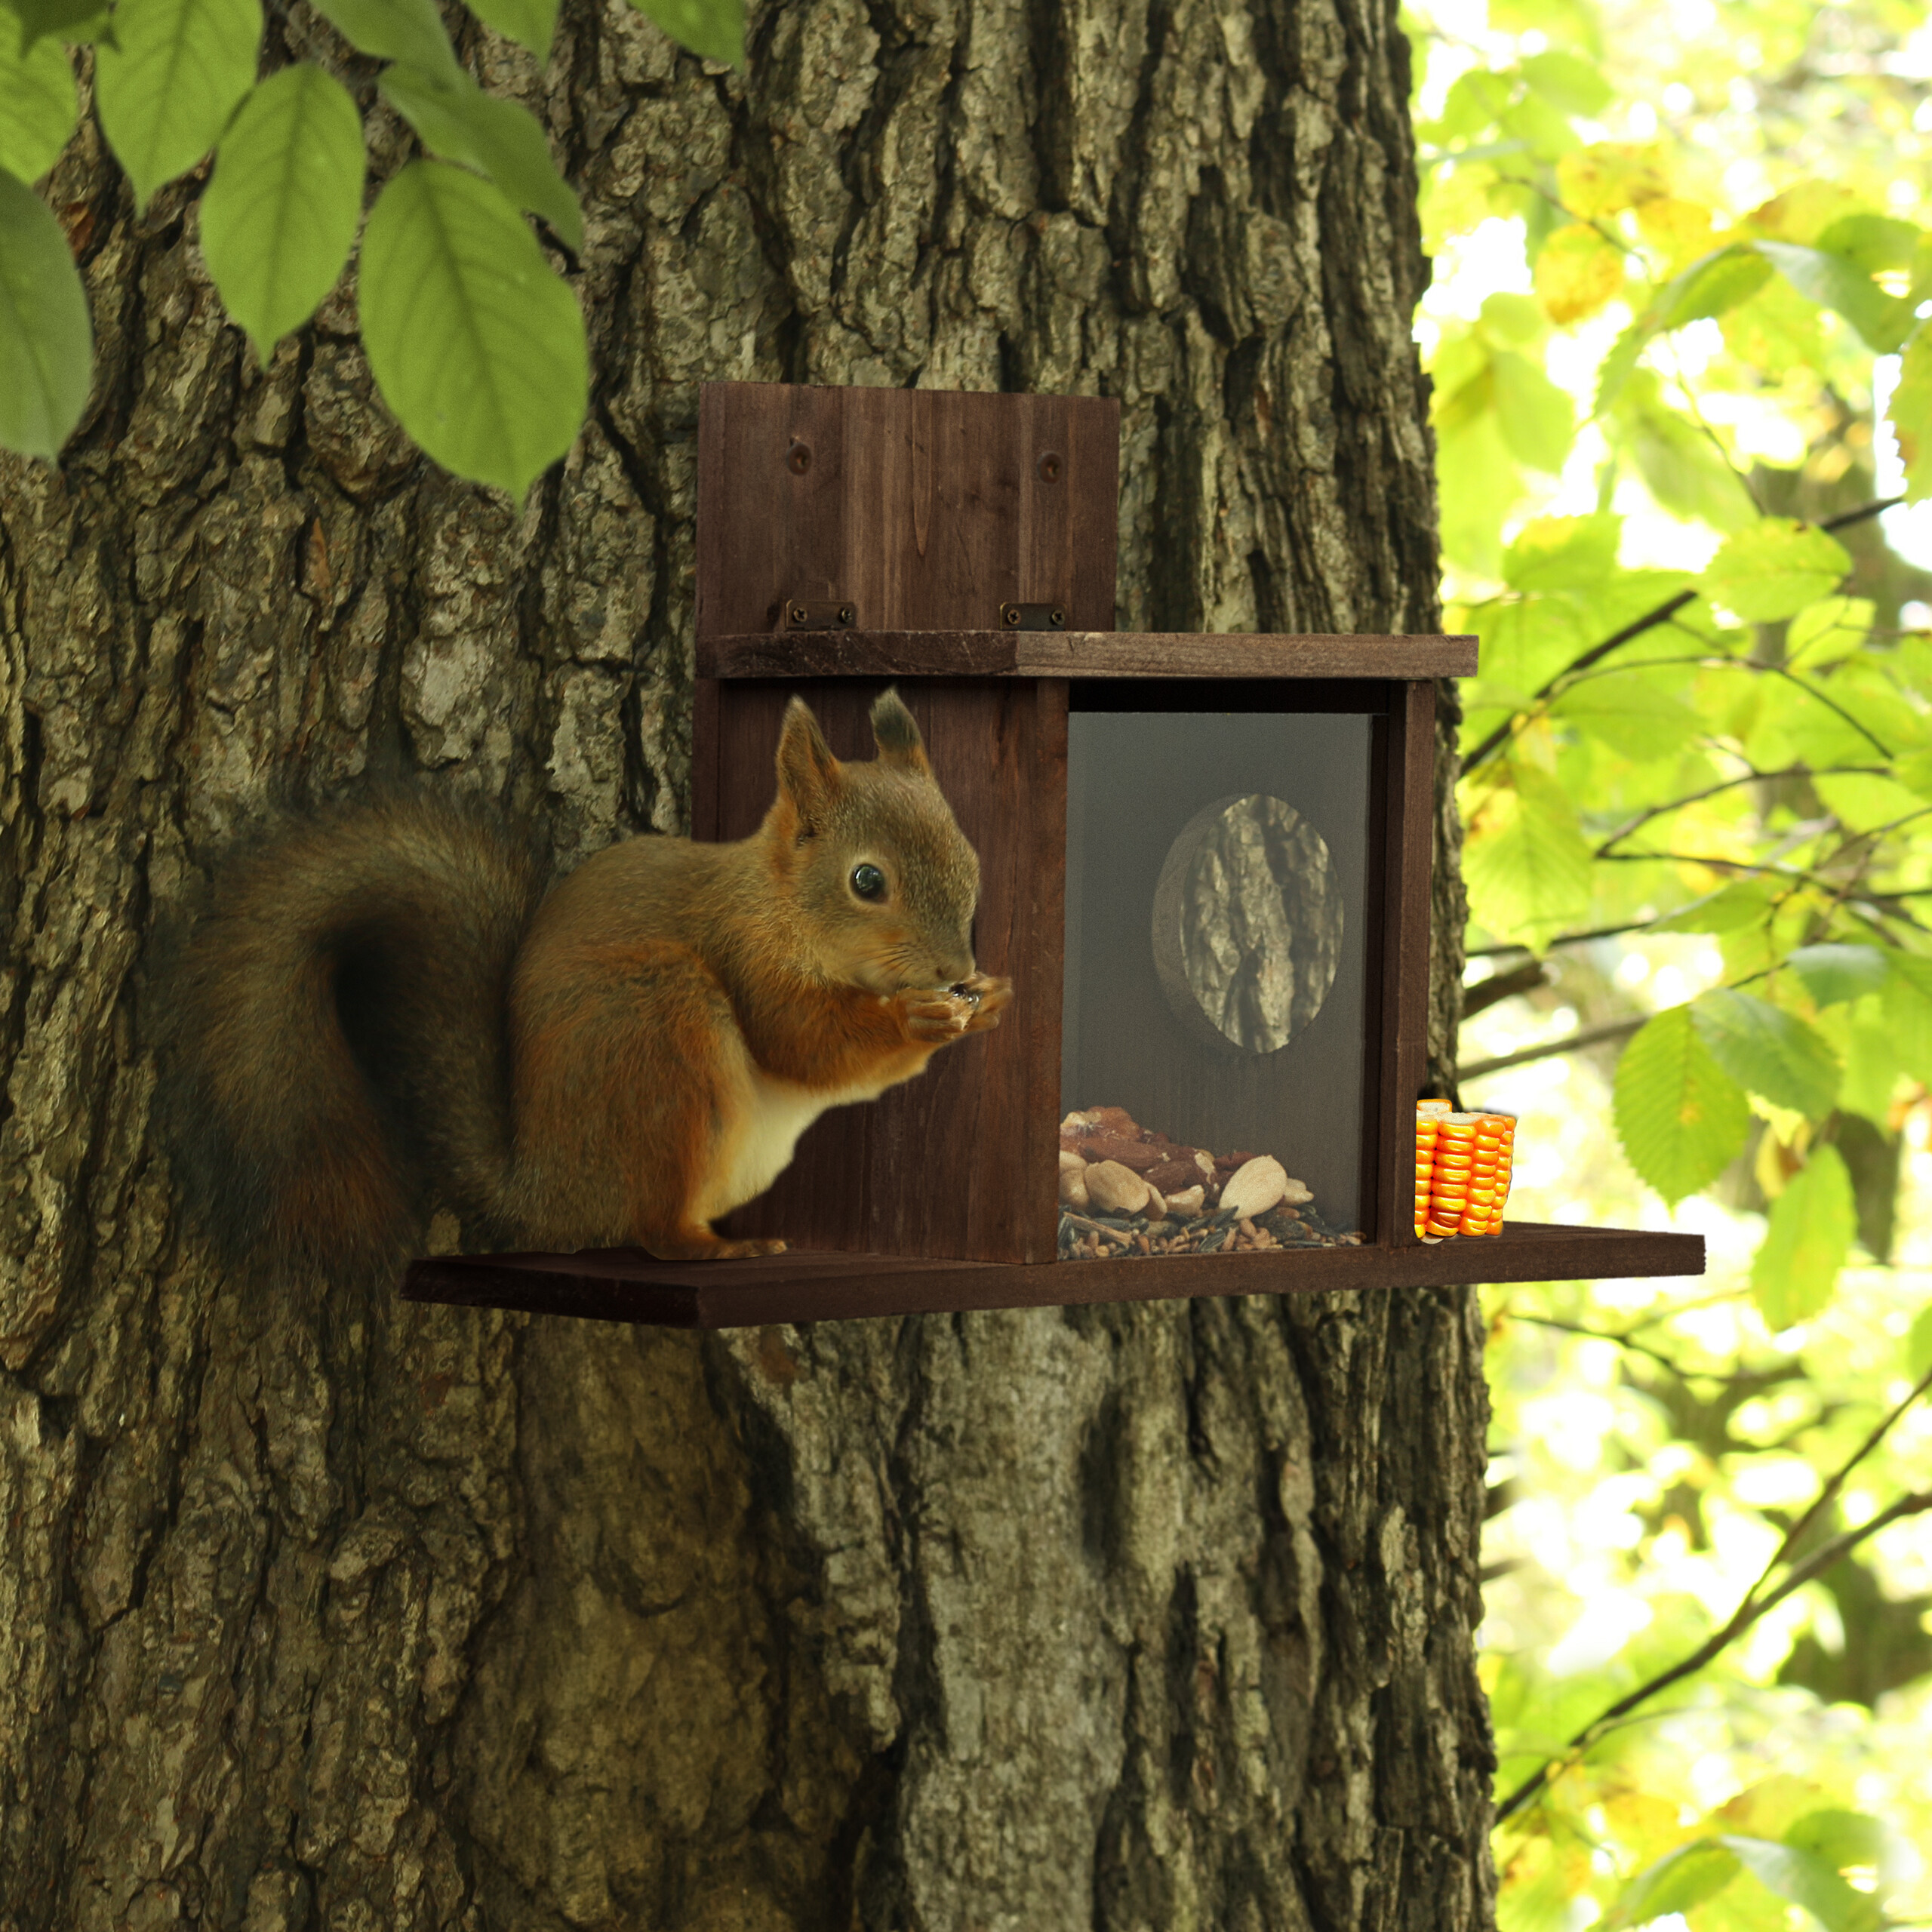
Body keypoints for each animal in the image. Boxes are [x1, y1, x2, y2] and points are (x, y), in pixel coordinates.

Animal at [162, 688, 1012, 1274]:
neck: (778, 904)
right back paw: (713, 1249)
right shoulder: (745, 954)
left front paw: (992, 1000)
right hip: (658, 1034)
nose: (954, 970)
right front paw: (916, 1020)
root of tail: (546, 1190)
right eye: (867, 881)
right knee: (654, 1229)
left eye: (971, 855)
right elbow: (805, 1044)